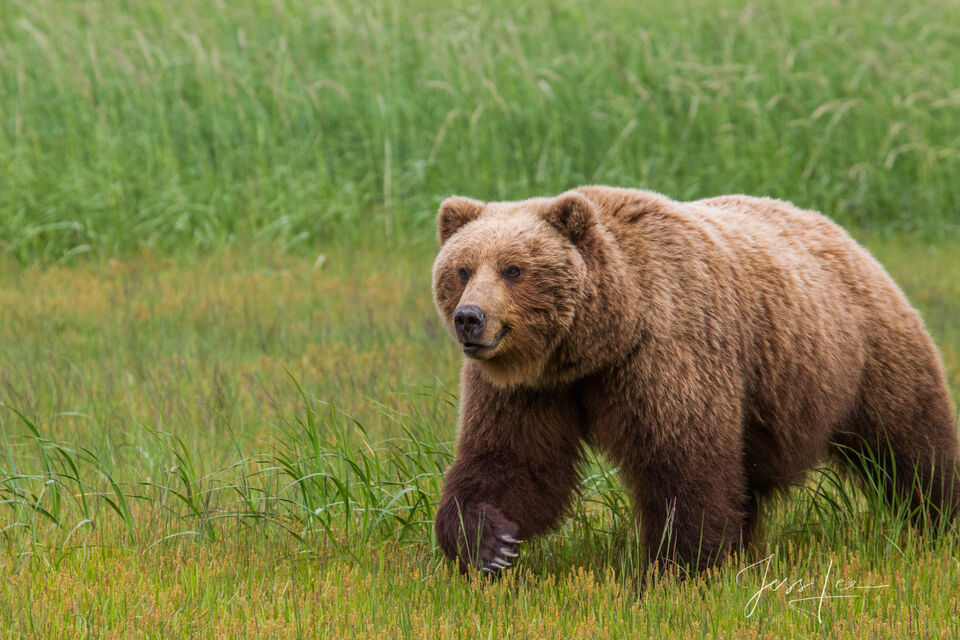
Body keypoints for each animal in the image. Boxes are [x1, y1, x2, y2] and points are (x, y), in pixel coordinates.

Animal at [431, 185, 960, 577]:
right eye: (462, 269)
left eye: (513, 269)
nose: (470, 318)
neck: (598, 344)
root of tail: (838, 231)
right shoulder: (530, 388)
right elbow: (512, 459)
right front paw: (490, 544)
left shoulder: (667, 353)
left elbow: (682, 459)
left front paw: (678, 567)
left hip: (863, 352)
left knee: (911, 441)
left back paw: (939, 520)